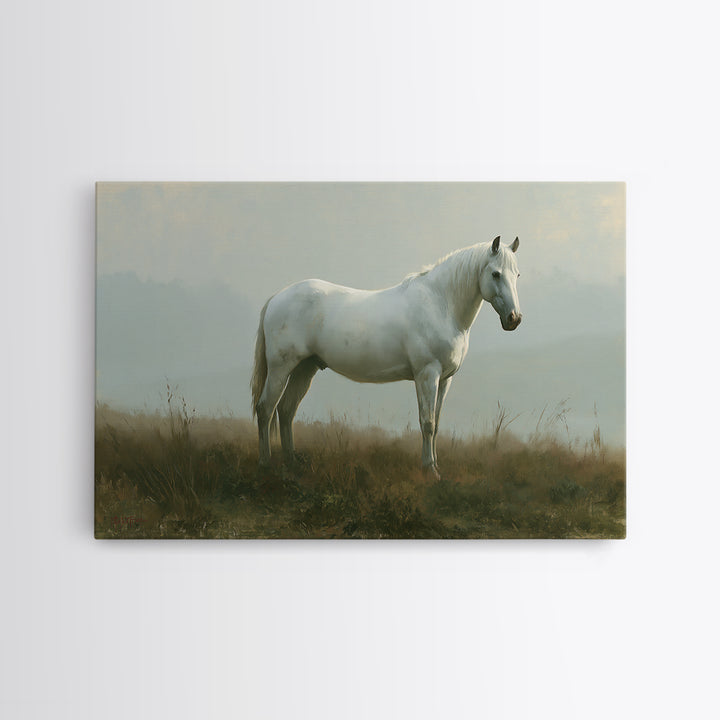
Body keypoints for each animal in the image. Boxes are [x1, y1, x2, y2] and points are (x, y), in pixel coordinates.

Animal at [251, 235, 522, 477]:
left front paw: (436, 465)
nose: (514, 319)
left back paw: (292, 462)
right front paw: (429, 470)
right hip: (280, 368)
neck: (440, 304)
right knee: (266, 408)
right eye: (496, 274)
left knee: (286, 410)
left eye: (517, 275)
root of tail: (276, 298)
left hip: (304, 369)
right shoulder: (427, 374)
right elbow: (427, 423)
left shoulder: (445, 379)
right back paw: (265, 464)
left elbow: (436, 422)